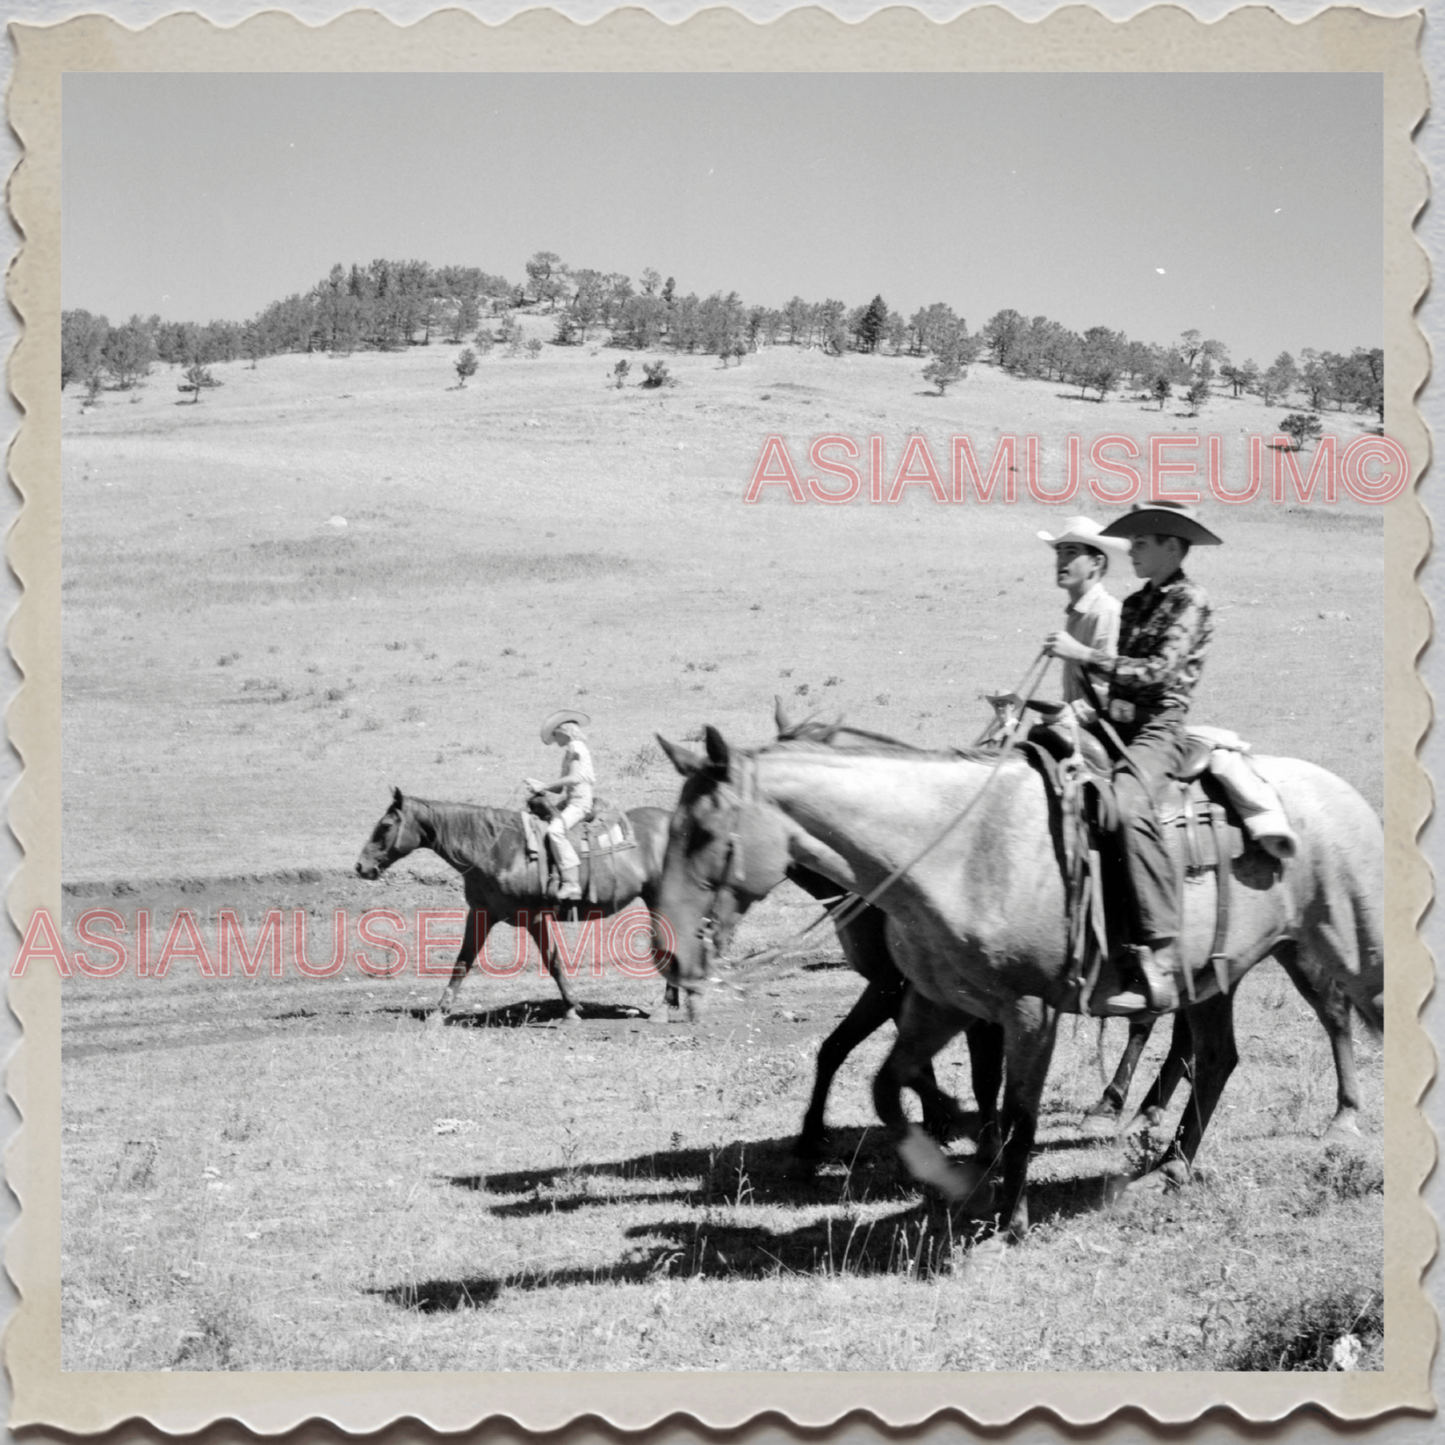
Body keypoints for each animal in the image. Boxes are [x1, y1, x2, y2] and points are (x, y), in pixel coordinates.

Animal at [355, 791, 670, 1017]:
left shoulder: (535, 918)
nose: (361, 867)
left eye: (385, 826)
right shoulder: (481, 914)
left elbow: (553, 962)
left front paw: (571, 1009)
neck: (497, 849)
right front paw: (440, 1011)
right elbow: (463, 961)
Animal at [650, 728, 1381, 1236]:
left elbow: (1016, 1108)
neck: (955, 852)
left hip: (1331, 947)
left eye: (707, 833)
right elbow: (892, 1086)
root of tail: (1344, 793)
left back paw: (1341, 1121)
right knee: (1216, 1058)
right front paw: (957, 1176)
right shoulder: (938, 1003)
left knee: (1340, 1015)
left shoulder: (1028, 1008)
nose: (668, 952)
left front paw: (1009, 1213)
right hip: (1214, 976)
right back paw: (1168, 1163)